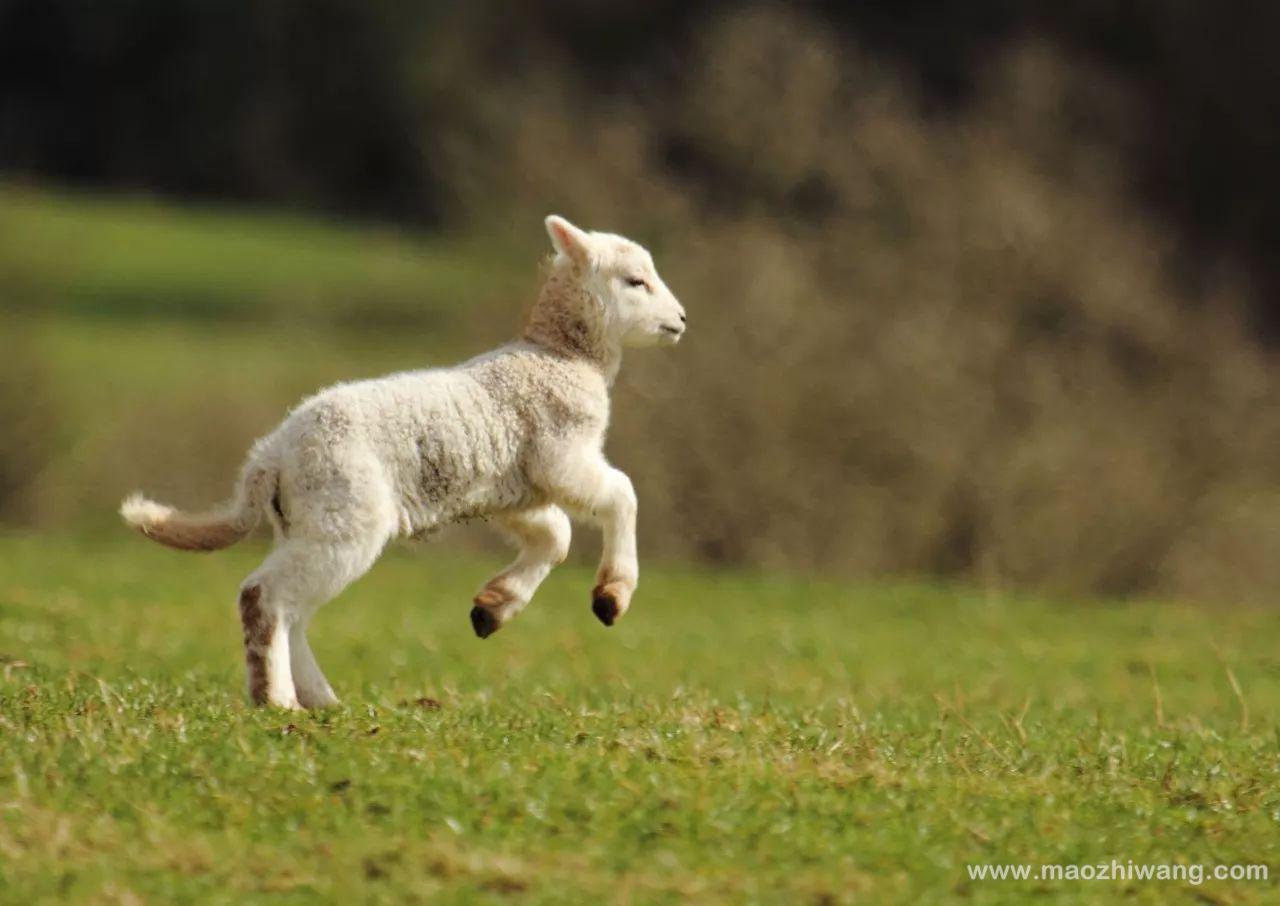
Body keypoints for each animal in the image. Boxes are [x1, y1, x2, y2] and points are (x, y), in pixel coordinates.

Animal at [117, 217, 691, 706]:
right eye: (636, 281)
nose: (682, 320)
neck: (562, 356)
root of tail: (270, 453)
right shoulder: (561, 452)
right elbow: (621, 494)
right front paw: (612, 597)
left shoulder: (511, 489)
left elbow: (555, 536)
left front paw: (491, 609)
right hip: (347, 511)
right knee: (264, 596)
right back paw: (276, 700)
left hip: (307, 518)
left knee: (293, 609)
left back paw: (318, 698)